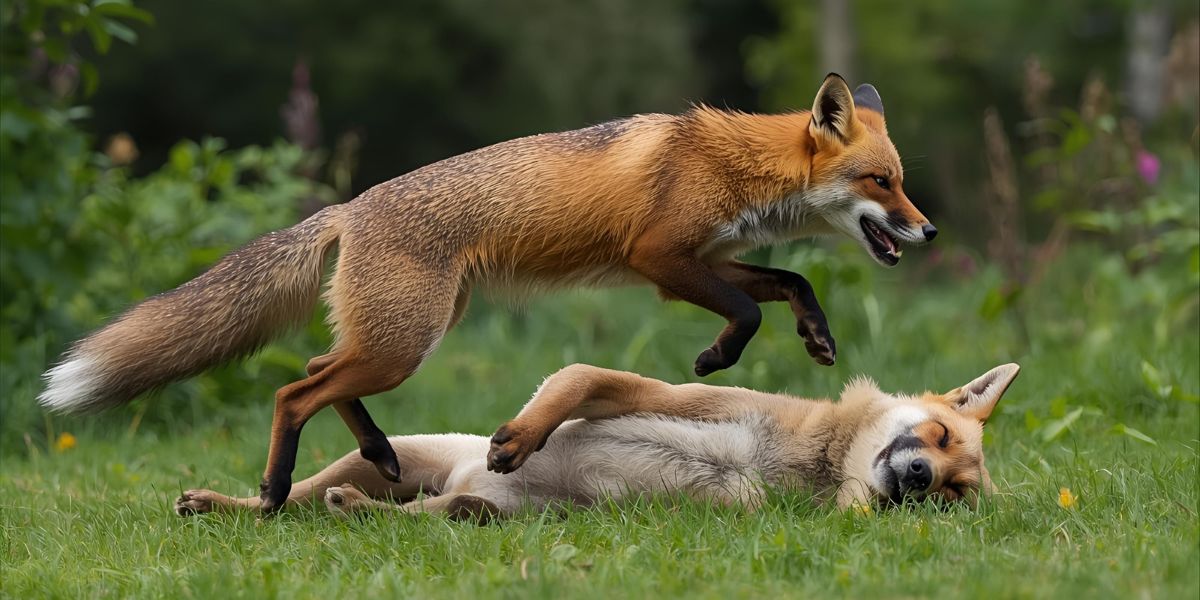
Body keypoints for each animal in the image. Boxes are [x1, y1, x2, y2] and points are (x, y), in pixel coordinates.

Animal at [40, 73, 936, 513]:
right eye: (882, 182)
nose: (927, 231)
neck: (736, 164)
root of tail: (349, 207)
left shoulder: (703, 257)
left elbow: (791, 279)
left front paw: (816, 337)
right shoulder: (658, 256)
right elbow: (750, 307)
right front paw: (716, 358)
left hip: (401, 336)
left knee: (317, 370)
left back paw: (378, 453)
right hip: (405, 343)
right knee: (295, 390)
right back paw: (273, 490)